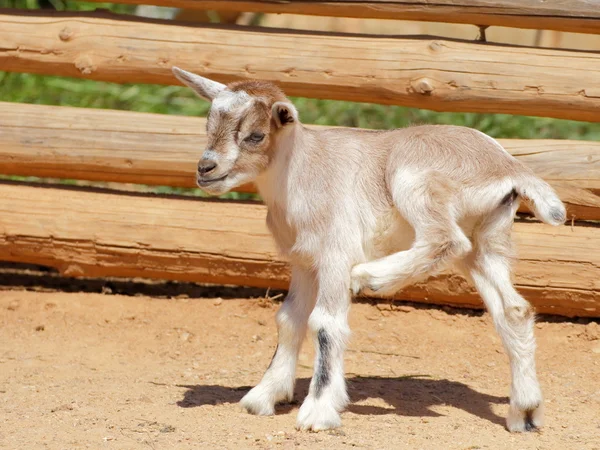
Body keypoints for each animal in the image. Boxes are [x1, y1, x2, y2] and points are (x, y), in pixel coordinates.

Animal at [173, 67, 568, 432]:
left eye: (255, 135)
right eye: (209, 126)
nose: (205, 169)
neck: (302, 171)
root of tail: (510, 169)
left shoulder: (335, 253)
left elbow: (325, 323)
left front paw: (318, 411)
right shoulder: (305, 262)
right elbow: (289, 319)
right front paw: (265, 396)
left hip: (414, 182)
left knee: (445, 238)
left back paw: (370, 278)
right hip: (486, 243)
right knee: (513, 309)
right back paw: (525, 412)